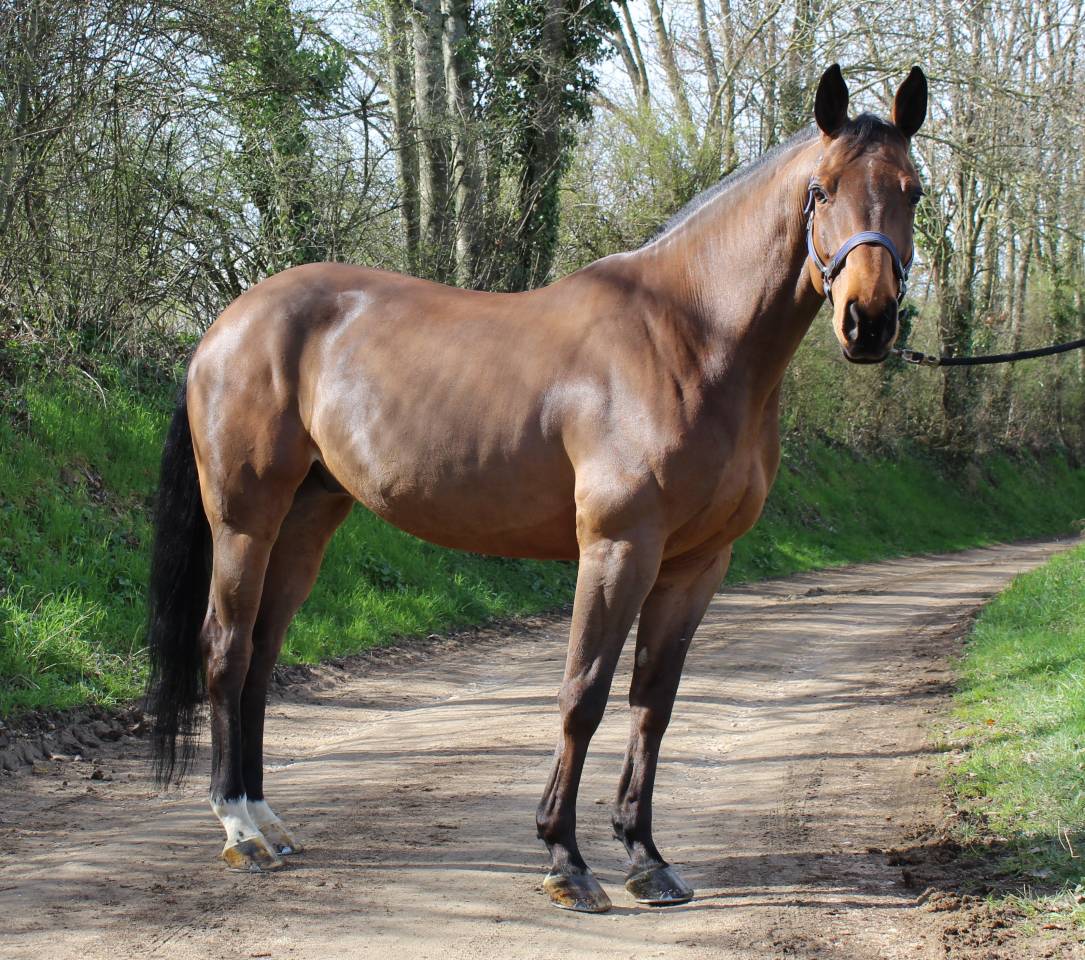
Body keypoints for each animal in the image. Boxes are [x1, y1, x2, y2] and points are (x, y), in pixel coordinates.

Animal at [145, 63, 928, 913]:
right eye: (821, 189)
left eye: (913, 190)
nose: (868, 322)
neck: (689, 338)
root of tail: (229, 324)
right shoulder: (617, 548)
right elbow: (583, 693)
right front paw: (565, 860)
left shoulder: (696, 564)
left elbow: (653, 703)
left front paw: (646, 858)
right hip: (244, 517)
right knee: (225, 647)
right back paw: (239, 828)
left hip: (309, 516)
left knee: (261, 652)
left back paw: (267, 818)